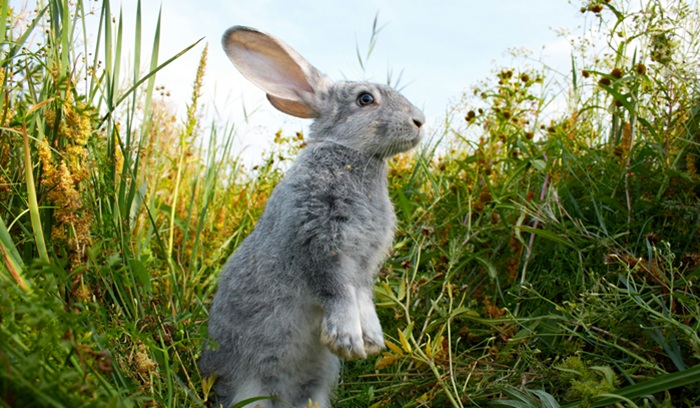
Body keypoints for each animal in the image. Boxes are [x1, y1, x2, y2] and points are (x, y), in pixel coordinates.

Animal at [198, 25, 425, 408]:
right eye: (366, 99)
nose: (419, 121)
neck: (350, 155)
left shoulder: (363, 266)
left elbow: (362, 297)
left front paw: (372, 341)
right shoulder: (318, 244)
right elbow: (337, 292)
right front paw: (347, 341)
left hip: (315, 388)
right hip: (250, 389)